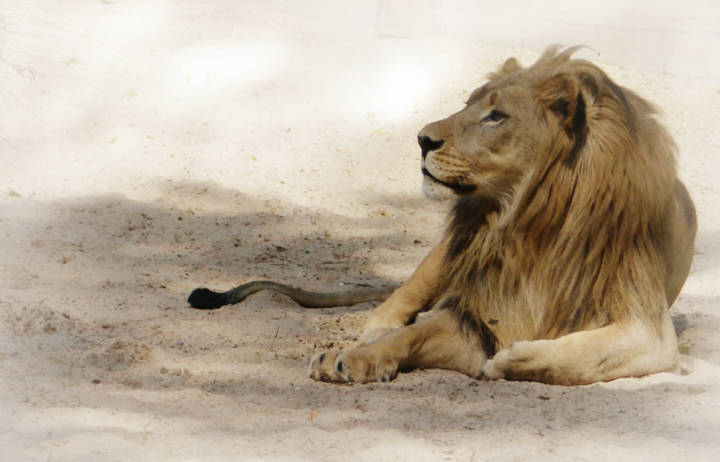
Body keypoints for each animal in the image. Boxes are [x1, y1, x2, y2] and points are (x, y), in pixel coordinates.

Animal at [189, 46, 696, 385]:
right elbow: (411, 335)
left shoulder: (647, 329)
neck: (527, 223)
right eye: (468, 104)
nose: (421, 139)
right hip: (440, 258)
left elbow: (581, 353)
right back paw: (374, 327)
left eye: (495, 116)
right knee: (401, 300)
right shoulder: (478, 313)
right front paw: (351, 358)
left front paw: (512, 360)